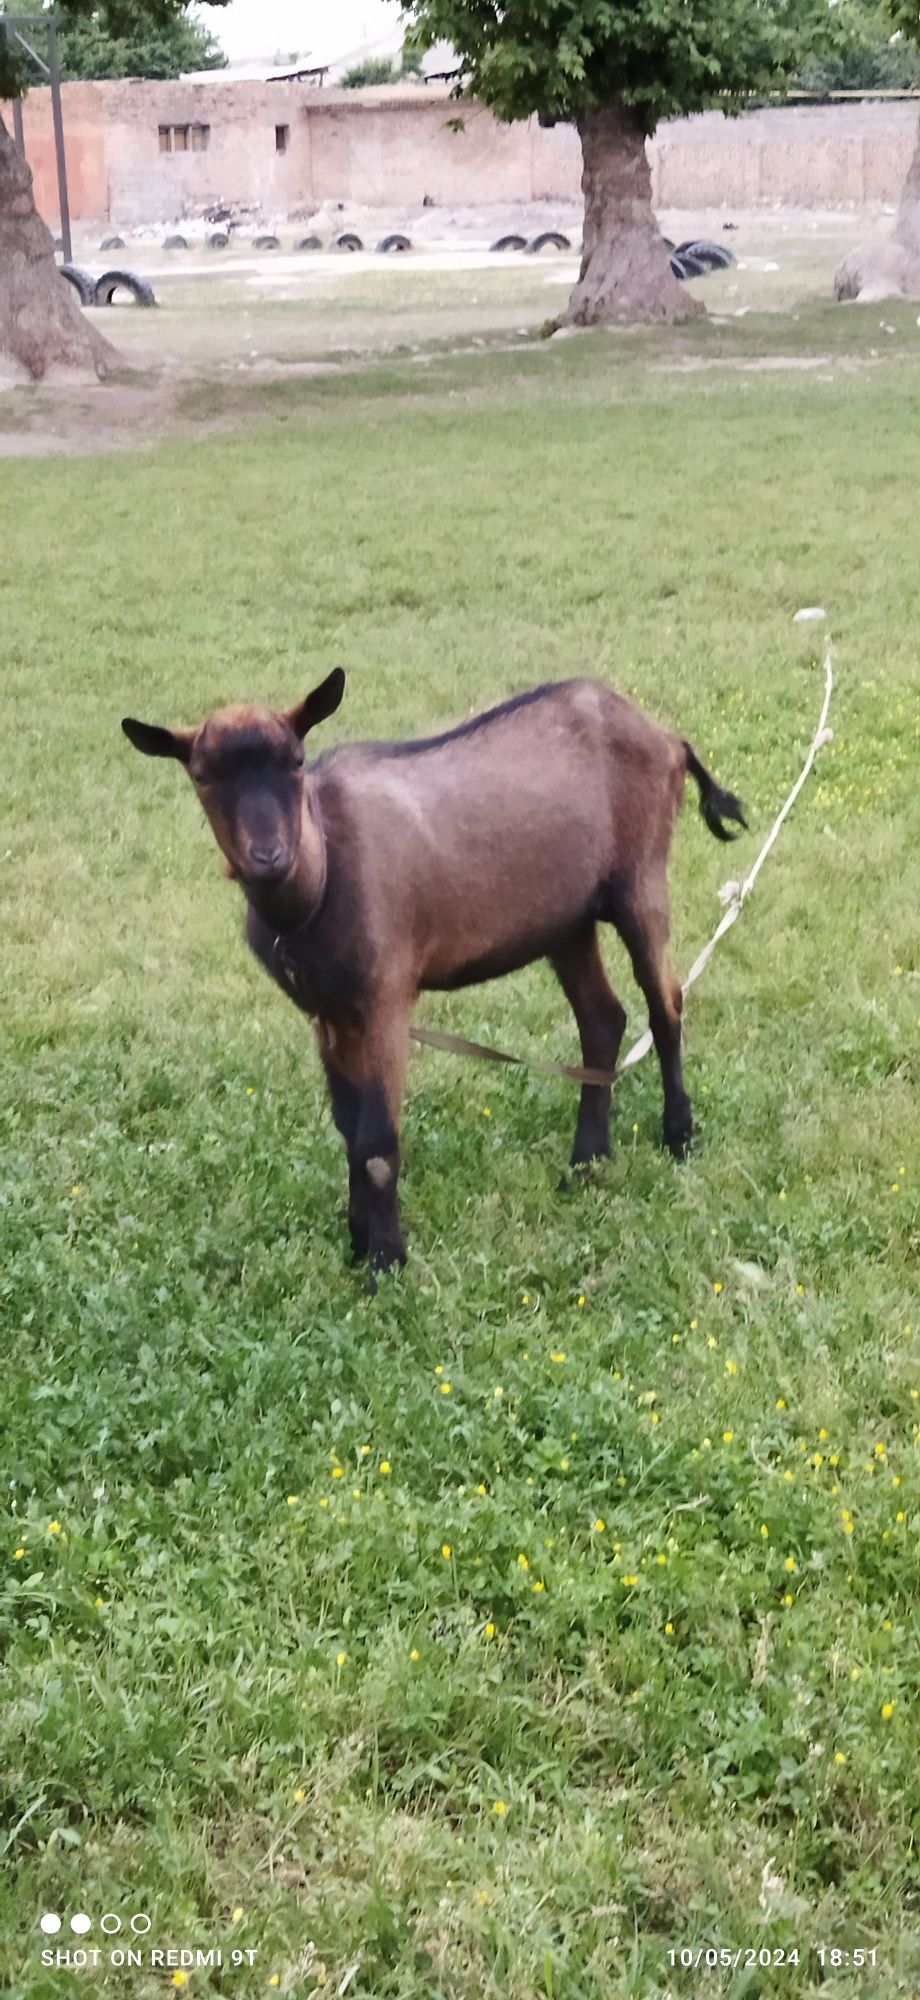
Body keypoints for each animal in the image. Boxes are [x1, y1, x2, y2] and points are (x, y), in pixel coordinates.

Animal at [122, 676, 744, 1280]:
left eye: (296, 761)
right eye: (202, 775)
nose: (269, 856)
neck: (319, 881)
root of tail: (667, 737)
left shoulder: (386, 998)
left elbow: (376, 1140)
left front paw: (385, 1262)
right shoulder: (327, 1012)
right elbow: (348, 1129)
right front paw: (358, 1240)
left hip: (641, 878)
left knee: (665, 1003)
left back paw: (678, 1135)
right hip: (565, 920)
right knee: (603, 1018)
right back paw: (587, 1159)